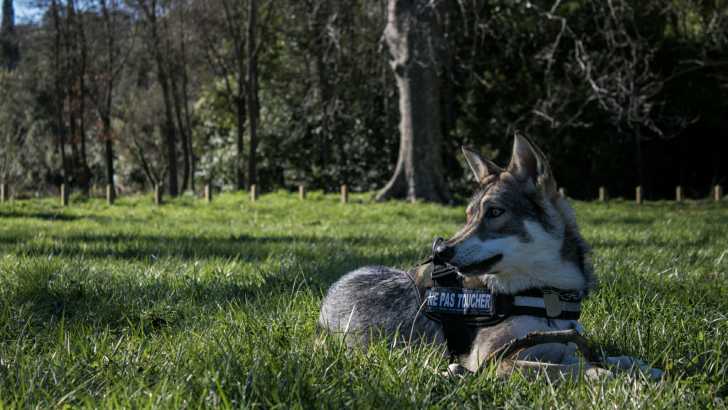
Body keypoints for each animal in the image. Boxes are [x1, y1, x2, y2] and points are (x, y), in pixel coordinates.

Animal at [318, 135, 662, 380]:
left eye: (494, 212)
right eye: (469, 216)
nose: (440, 251)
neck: (545, 295)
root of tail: (329, 295)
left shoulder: (558, 344)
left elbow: (614, 357)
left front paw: (647, 368)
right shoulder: (497, 361)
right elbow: (578, 370)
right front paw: (611, 376)